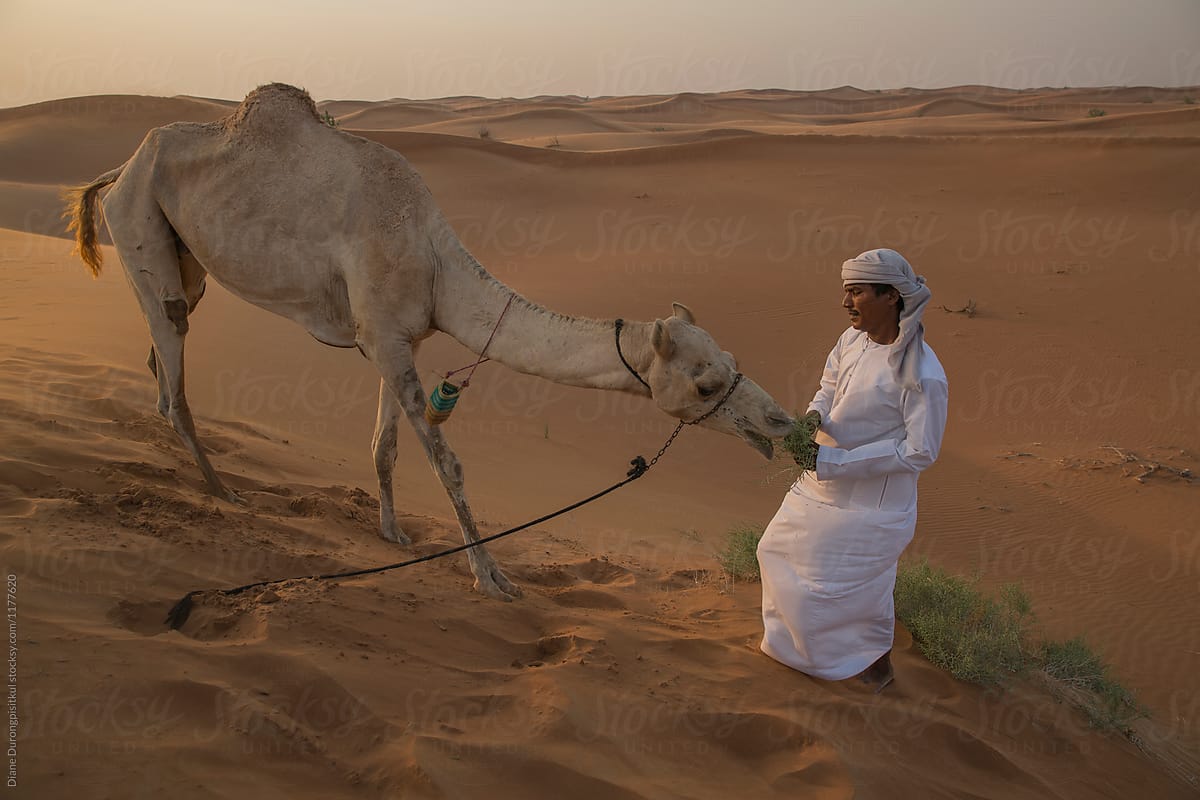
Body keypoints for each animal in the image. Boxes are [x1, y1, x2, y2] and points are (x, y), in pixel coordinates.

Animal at [65, 83, 793, 600]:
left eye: (734, 361)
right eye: (704, 381)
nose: (780, 421)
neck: (438, 266)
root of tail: (118, 168)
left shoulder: (395, 341)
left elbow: (386, 447)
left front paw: (392, 531)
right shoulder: (385, 336)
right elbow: (448, 464)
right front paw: (491, 577)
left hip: (180, 256)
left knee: (162, 355)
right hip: (139, 225)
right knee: (173, 372)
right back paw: (222, 492)